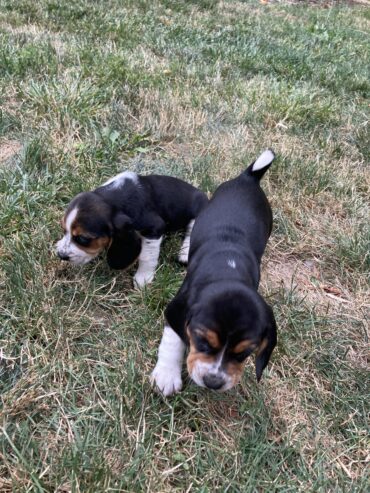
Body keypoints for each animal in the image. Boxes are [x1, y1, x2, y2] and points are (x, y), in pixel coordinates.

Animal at [56, 171, 210, 286]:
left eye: (83, 238)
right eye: (63, 229)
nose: (61, 255)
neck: (113, 197)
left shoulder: (154, 228)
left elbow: (146, 256)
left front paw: (143, 278)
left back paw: (185, 253)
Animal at [151, 148, 278, 394]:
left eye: (244, 353)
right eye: (203, 342)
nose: (213, 382)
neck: (228, 270)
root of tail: (248, 179)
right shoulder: (176, 307)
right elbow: (173, 340)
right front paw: (167, 376)